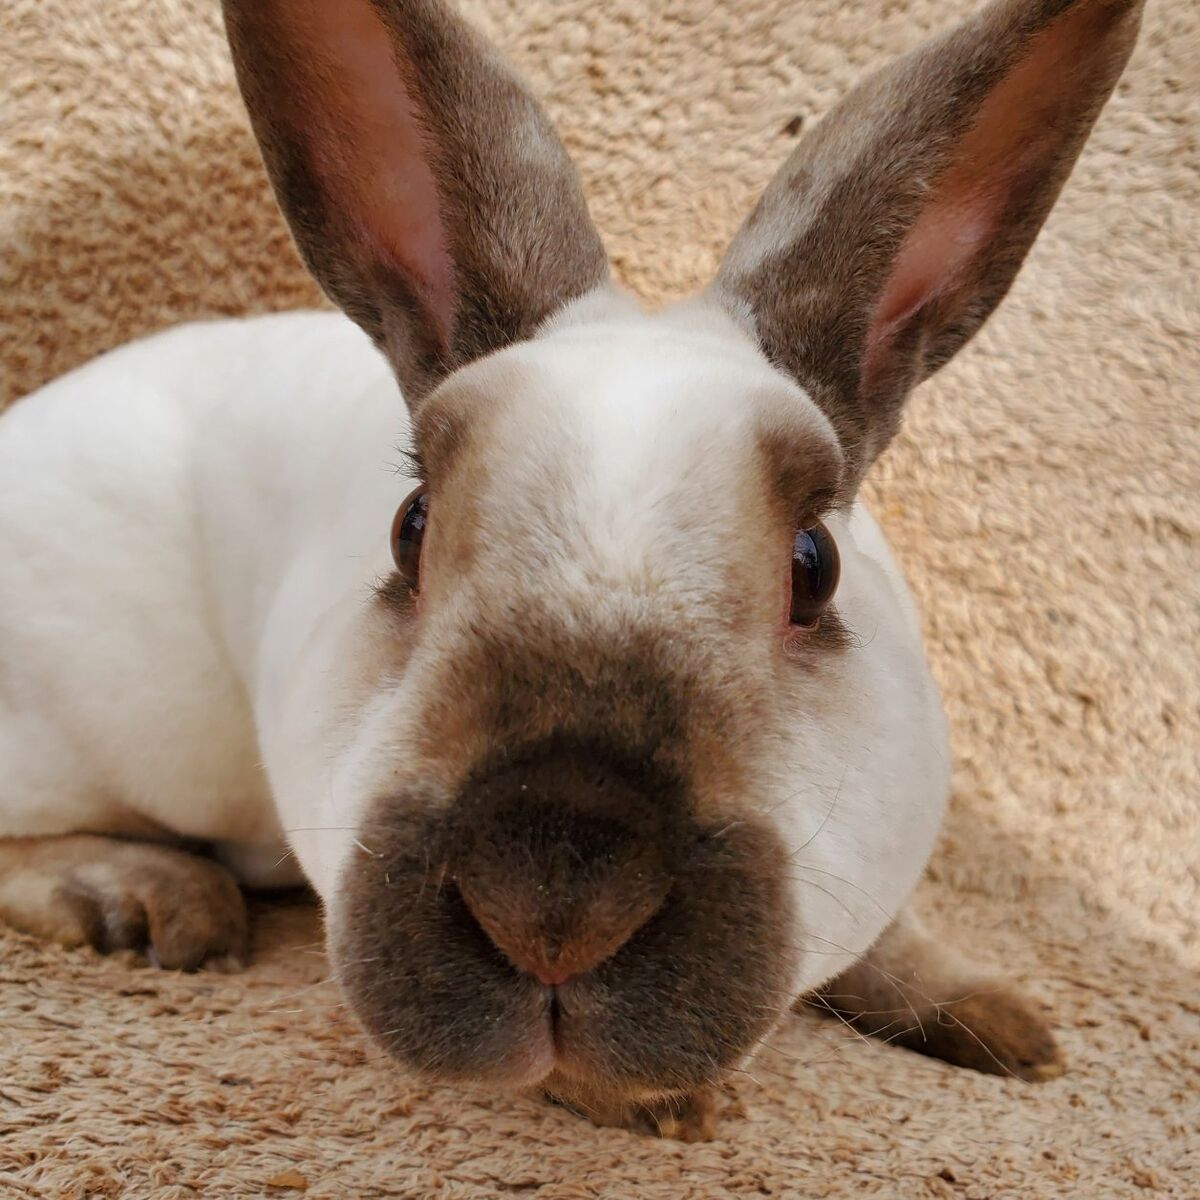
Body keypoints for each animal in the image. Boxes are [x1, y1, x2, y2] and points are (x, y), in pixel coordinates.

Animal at [0, 0, 1143, 1139]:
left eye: (814, 566)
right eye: (409, 528)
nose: (552, 903)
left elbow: (898, 939)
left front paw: (1006, 1025)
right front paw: (660, 1104)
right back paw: (149, 900)